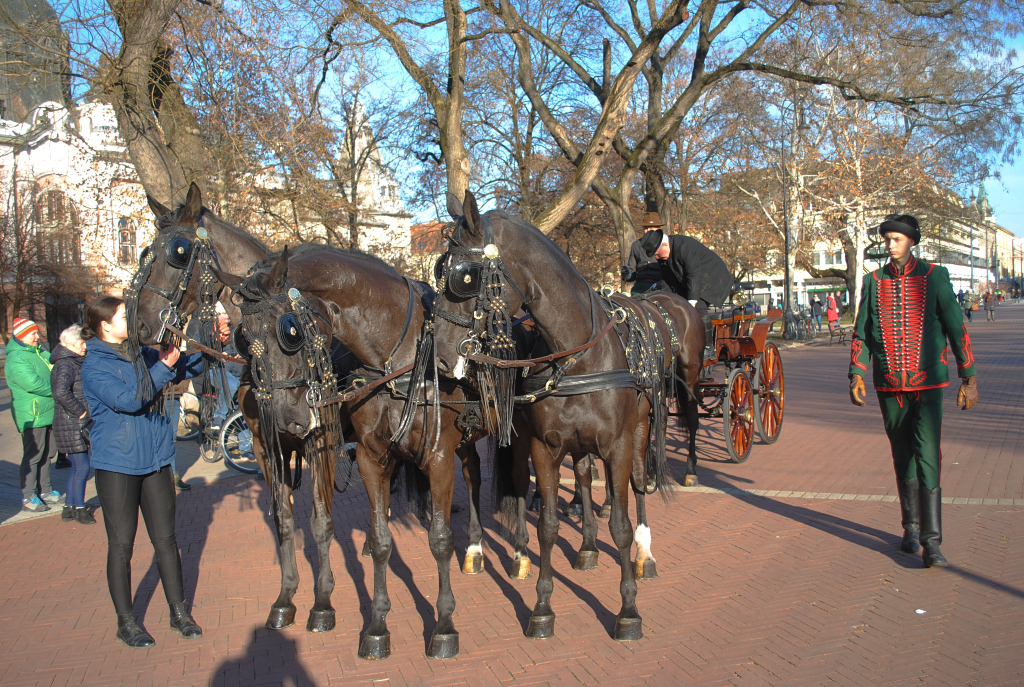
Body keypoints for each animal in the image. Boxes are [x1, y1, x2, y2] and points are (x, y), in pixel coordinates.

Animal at [216, 244, 499, 659]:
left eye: (290, 330)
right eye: (242, 336)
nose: (289, 418)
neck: (398, 359)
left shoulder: (432, 456)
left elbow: (438, 540)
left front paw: (444, 626)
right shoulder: (340, 454)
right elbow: (358, 536)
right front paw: (372, 625)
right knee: (472, 472)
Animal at [428, 190, 684, 642]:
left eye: (465, 277)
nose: (440, 357)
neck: (576, 355)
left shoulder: (617, 447)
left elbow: (619, 525)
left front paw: (628, 611)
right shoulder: (544, 449)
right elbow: (547, 526)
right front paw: (542, 608)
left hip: (640, 432)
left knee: (638, 486)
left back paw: (645, 554)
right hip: (577, 447)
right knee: (582, 475)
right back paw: (587, 548)